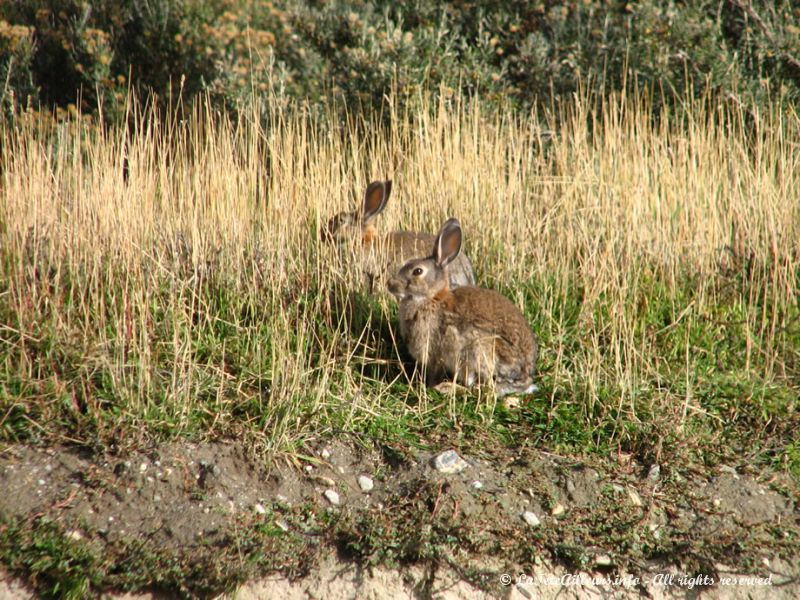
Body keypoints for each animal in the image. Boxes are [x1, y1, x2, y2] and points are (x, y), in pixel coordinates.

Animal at [388, 218, 536, 396]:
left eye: (417, 271)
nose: (390, 284)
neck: (431, 298)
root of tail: (522, 376)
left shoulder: (435, 351)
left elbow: (434, 371)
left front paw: (429, 385)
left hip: (476, 350)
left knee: (479, 386)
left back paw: (447, 388)